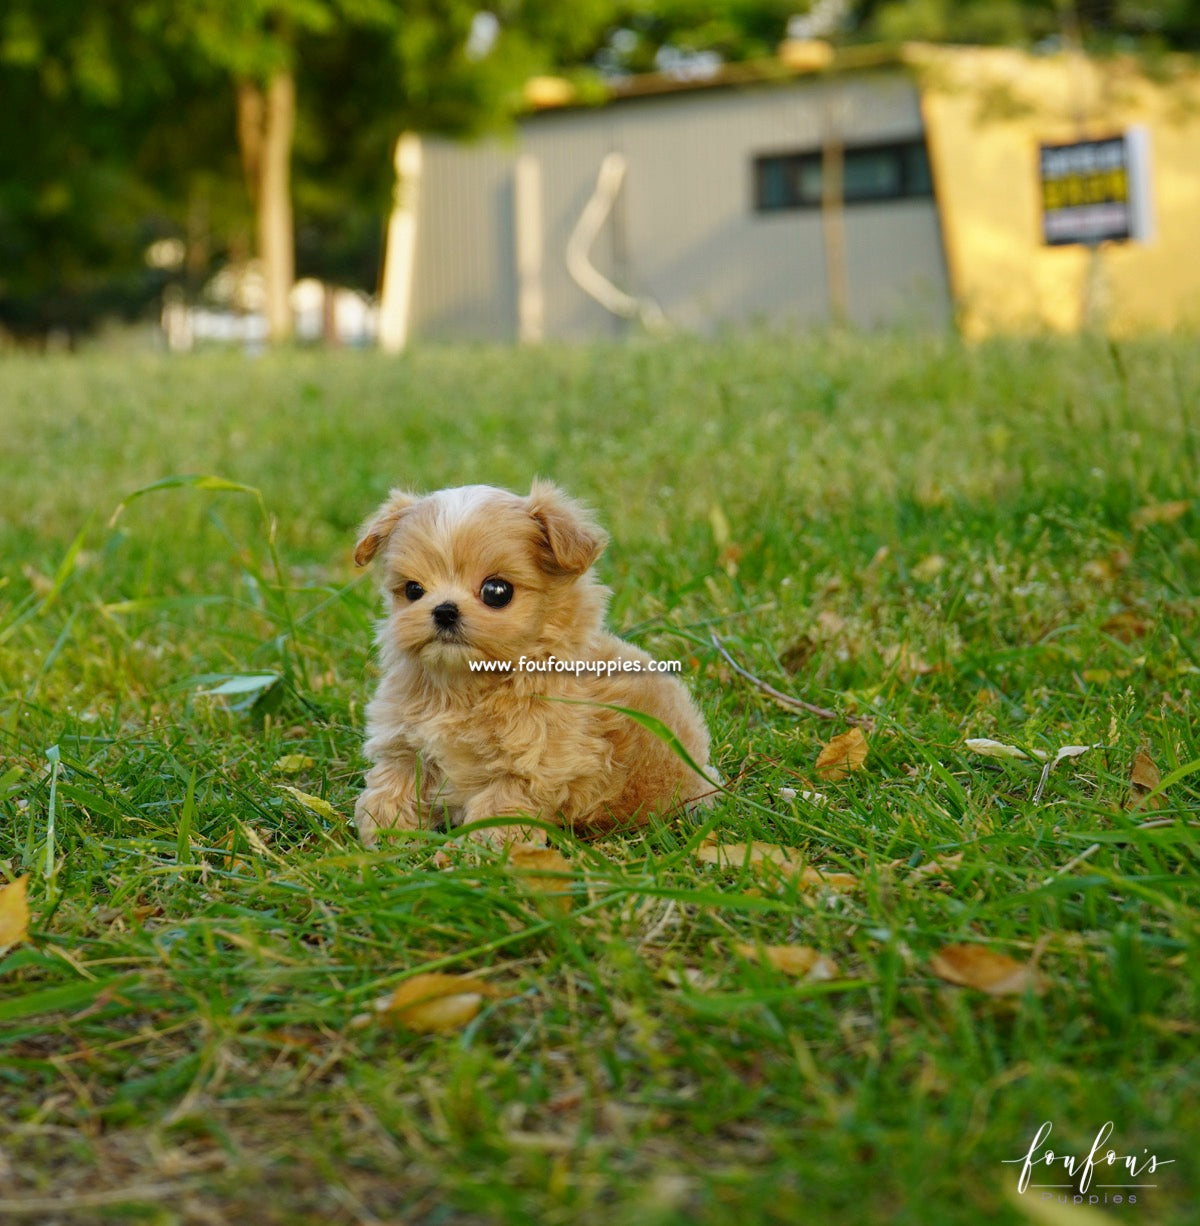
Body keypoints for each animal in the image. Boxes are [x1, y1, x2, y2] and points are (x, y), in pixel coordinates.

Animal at [355, 478, 710, 843]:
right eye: (413, 590)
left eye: (496, 592)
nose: (444, 611)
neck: (463, 688)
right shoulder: (403, 745)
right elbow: (391, 789)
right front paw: (386, 836)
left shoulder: (531, 767)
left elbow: (495, 818)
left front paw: (469, 853)